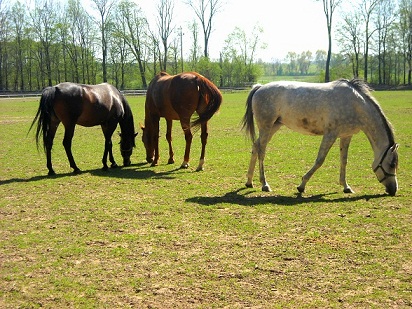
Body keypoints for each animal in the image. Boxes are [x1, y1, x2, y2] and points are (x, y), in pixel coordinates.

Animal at [241, 79, 400, 195]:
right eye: (392, 164)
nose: (393, 190)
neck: (355, 104)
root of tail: (260, 87)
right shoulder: (330, 134)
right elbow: (320, 160)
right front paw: (301, 185)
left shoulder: (346, 135)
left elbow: (344, 161)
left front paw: (346, 187)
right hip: (266, 126)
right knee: (261, 151)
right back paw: (264, 184)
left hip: (274, 126)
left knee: (255, 146)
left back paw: (249, 182)